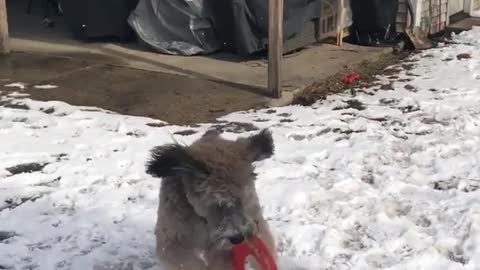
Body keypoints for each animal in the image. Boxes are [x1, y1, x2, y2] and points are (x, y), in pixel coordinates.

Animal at [144, 129, 276, 270]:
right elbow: (186, 261)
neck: (202, 221)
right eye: (217, 202)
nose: (238, 238)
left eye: (243, 200)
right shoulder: (170, 240)